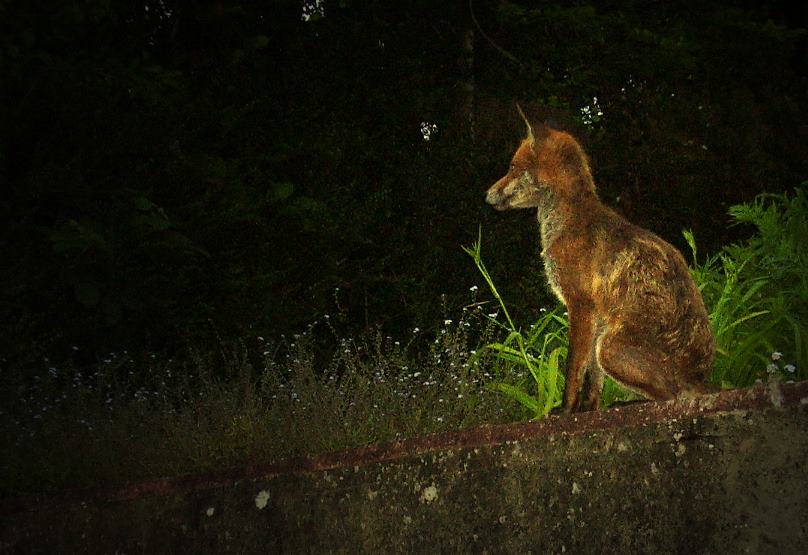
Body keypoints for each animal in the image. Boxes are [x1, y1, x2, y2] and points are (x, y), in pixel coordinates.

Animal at [486, 107, 712, 412]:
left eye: (511, 167)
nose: (487, 195)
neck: (568, 222)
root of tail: (701, 377)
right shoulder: (598, 316)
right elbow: (592, 383)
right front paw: (587, 410)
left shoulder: (580, 305)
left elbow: (573, 370)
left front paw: (565, 411)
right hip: (606, 342)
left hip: (608, 348)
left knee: (672, 397)